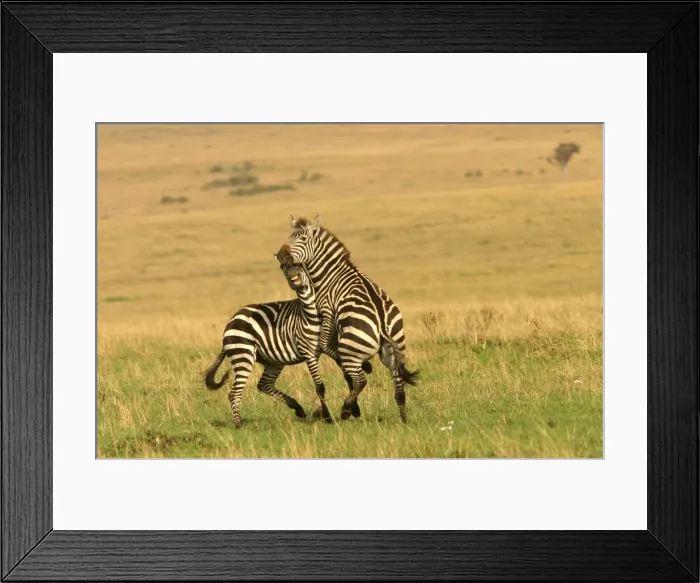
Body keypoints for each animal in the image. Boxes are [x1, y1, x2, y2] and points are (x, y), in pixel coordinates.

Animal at [203, 263, 326, 428]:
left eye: (300, 266)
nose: (293, 276)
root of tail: (231, 321)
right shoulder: (309, 352)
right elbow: (322, 384)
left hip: (274, 361)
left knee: (264, 384)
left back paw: (297, 408)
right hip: (243, 355)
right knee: (235, 393)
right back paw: (239, 423)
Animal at [275, 215, 419, 423]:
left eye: (302, 239)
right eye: (289, 237)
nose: (280, 255)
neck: (329, 275)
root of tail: (382, 324)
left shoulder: (327, 311)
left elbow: (325, 344)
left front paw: (364, 368)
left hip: (351, 347)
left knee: (361, 379)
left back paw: (345, 409)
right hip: (394, 350)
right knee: (398, 387)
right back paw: (404, 419)